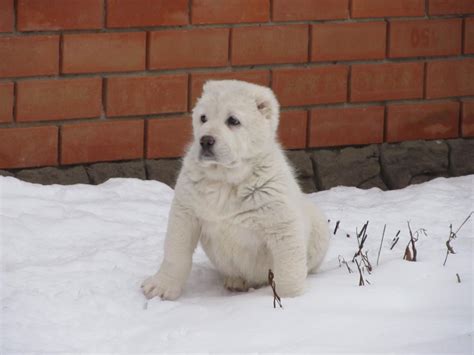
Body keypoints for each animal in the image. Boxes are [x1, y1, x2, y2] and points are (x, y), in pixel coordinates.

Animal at [141, 80, 330, 300]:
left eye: (233, 120)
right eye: (203, 118)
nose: (205, 140)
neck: (225, 180)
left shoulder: (279, 216)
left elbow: (288, 261)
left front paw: (290, 298)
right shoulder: (187, 207)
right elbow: (176, 248)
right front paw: (160, 287)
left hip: (319, 228)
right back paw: (235, 282)